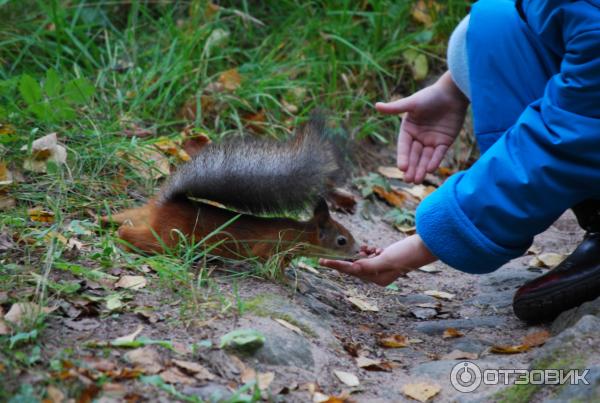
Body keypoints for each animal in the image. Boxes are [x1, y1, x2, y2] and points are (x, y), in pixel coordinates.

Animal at [103, 113, 358, 266]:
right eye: (341, 241)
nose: (358, 252)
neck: (299, 234)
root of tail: (165, 204)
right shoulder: (270, 246)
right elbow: (266, 262)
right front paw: (284, 281)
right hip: (171, 236)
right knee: (136, 235)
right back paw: (123, 237)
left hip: (144, 217)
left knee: (123, 217)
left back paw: (105, 220)